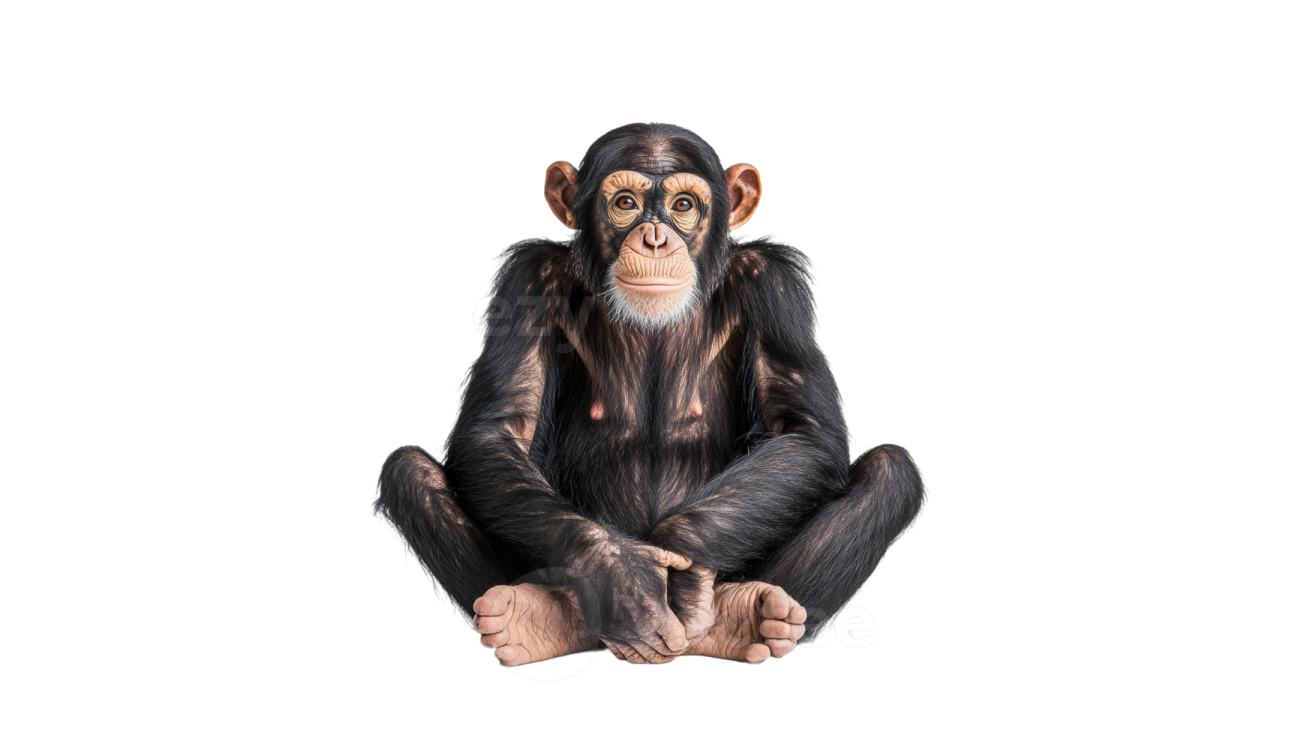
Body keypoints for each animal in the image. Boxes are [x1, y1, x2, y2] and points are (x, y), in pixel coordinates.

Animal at [371, 122, 928, 666]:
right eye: (625, 204)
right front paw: (624, 581)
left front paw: (679, 575)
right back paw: (540, 617)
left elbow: (802, 429)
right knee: (409, 471)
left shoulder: (773, 286)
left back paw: (743, 616)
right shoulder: (530, 279)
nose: (656, 238)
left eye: (683, 205)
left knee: (891, 472)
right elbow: (500, 426)